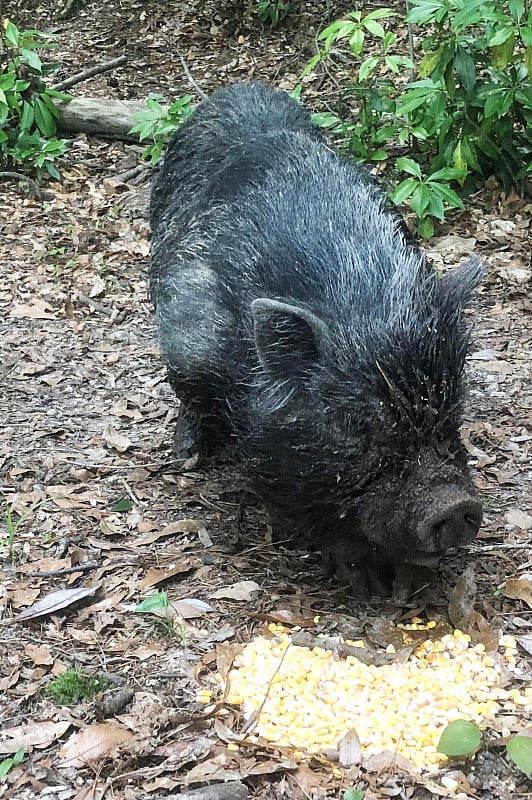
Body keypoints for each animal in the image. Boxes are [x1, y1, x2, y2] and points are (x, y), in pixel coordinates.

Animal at [149, 83, 482, 592]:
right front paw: (369, 586)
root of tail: (240, 89)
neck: (362, 298)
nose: (457, 506)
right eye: (357, 425)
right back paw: (187, 454)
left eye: (450, 409)